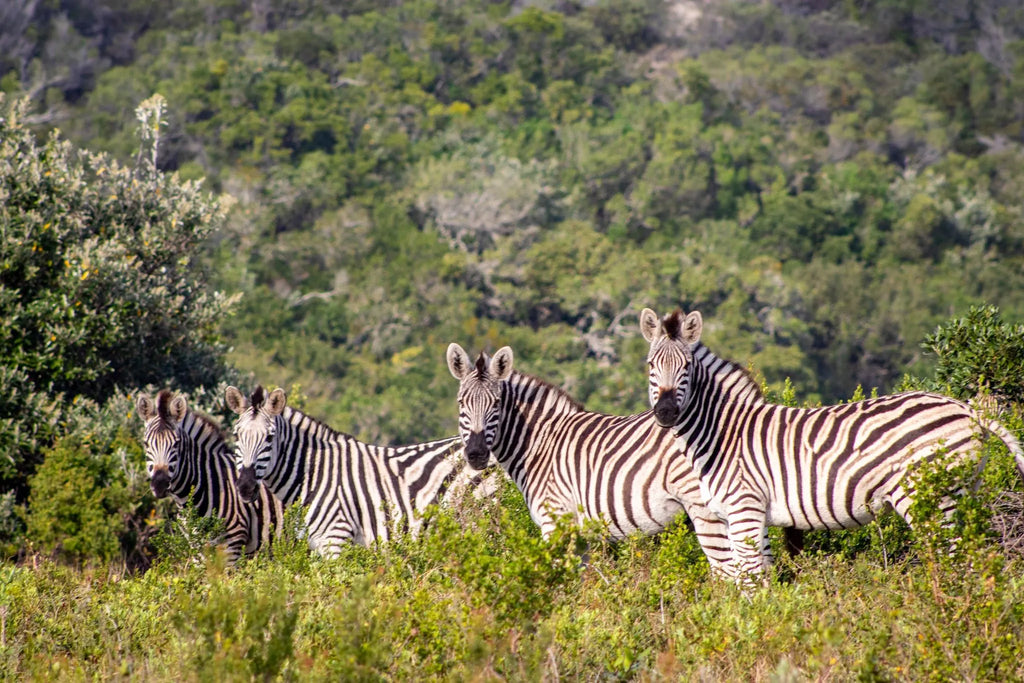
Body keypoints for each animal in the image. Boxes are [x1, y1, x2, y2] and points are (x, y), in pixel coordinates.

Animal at [224, 384, 483, 557]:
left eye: (269, 438)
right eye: (236, 435)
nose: (245, 487)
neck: (314, 475)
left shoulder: (336, 538)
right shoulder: (317, 544)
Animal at [445, 342, 804, 576]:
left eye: (496, 404)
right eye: (462, 403)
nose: (476, 455)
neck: (541, 443)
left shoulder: (555, 521)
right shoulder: (580, 534)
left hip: (708, 508)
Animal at [639, 307, 1024, 583]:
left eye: (687, 366)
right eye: (650, 366)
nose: (666, 412)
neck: (722, 433)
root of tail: (968, 408)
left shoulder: (744, 508)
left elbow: (748, 583)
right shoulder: (752, 515)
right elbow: (761, 582)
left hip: (931, 496)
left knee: (956, 558)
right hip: (964, 492)